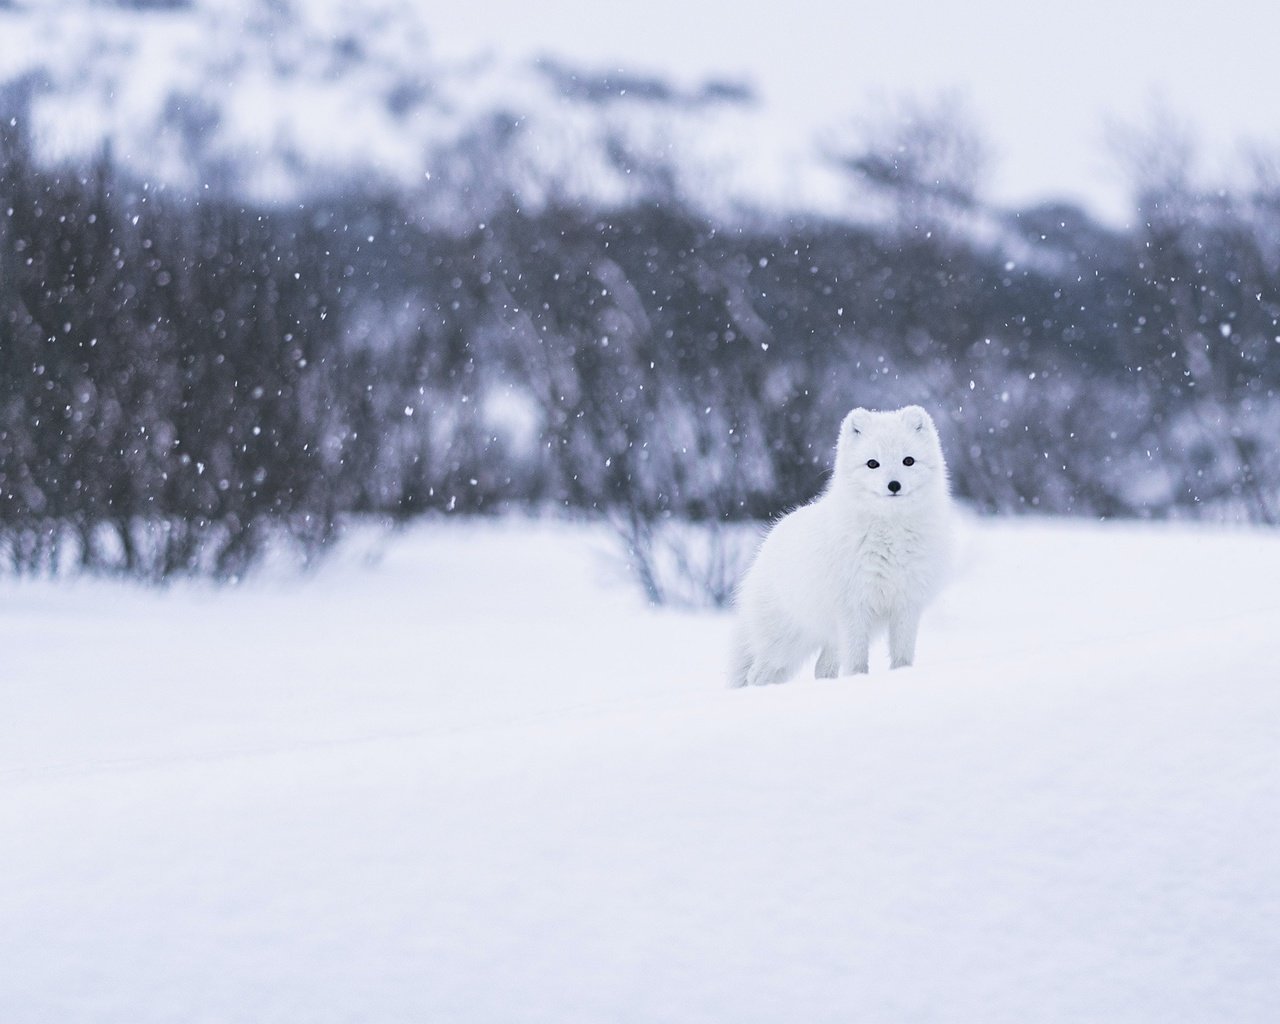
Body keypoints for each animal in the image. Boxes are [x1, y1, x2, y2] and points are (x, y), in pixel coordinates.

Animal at [732, 401, 952, 686]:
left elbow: (902, 656)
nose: (894, 485)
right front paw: (858, 682)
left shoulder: (906, 605)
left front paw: (901, 676)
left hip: (827, 640)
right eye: (872, 463)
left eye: (908, 461)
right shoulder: (853, 608)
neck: (889, 536)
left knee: (821, 669)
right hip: (785, 644)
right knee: (756, 674)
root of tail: (765, 545)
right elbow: (857, 661)